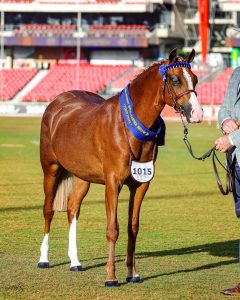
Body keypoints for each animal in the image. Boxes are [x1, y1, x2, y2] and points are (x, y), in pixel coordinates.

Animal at [37, 48, 202, 286]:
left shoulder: (141, 184)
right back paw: (43, 259)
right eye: (174, 79)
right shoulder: (113, 183)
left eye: (195, 79)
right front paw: (111, 277)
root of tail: (57, 102)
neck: (129, 127)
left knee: (72, 209)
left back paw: (75, 262)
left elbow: (133, 227)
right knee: (48, 210)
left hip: (82, 177)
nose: (197, 113)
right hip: (50, 169)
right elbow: (112, 228)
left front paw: (133, 273)